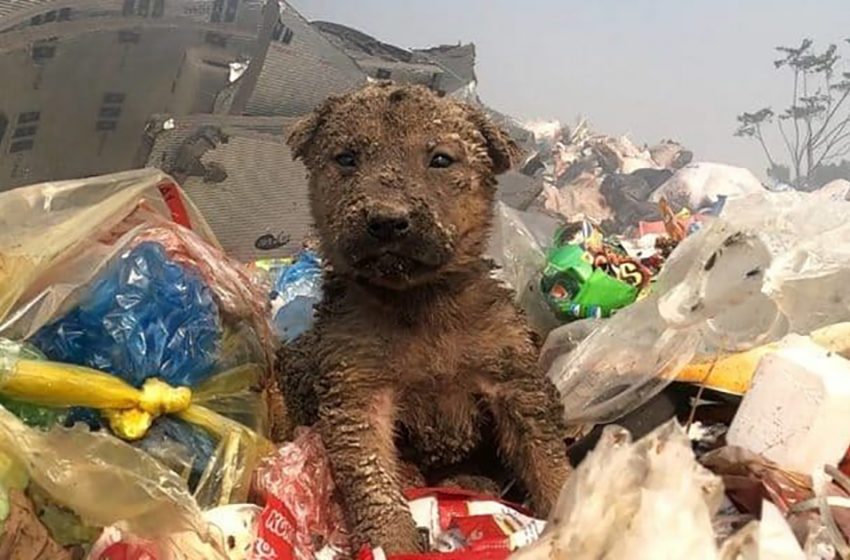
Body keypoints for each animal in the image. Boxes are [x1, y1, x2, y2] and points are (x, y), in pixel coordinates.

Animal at [280, 81, 568, 552]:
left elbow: (544, 454)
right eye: (346, 158)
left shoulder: (512, 377)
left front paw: (572, 501)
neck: (418, 303)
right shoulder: (358, 391)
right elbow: (373, 479)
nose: (386, 220)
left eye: (440, 160)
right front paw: (391, 543)